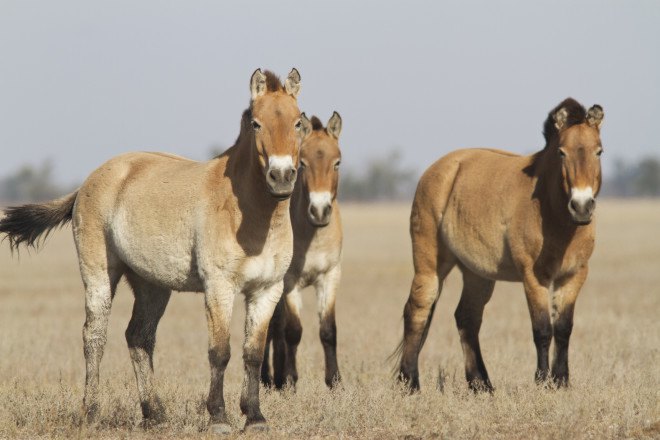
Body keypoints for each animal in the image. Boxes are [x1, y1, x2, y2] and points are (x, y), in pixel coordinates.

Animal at [0, 68, 306, 433]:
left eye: (299, 122)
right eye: (257, 124)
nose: (281, 176)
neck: (250, 215)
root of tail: (88, 181)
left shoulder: (266, 290)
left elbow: (253, 354)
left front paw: (256, 417)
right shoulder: (219, 287)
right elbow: (220, 351)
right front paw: (219, 417)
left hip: (152, 285)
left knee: (138, 337)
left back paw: (154, 414)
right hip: (99, 275)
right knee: (94, 336)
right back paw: (91, 412)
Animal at [260, 112, 344, 390]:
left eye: (337, 162)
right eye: (304, 164)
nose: (319, 211)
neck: (313, 238)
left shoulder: (330, 276)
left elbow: (328, 330)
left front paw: (335, 381)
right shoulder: (290, 281)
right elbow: (293, 331)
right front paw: (289, 380)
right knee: (272, 326)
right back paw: (269, 377)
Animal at [395, 98, 604, 392]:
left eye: (599, 151)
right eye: (562, 152)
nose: (582, 206)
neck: (553, 214)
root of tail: (437, 170)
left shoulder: (574, 276)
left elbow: (564, 328)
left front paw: (561, 381)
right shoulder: (534, 277)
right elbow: (542, 330)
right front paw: (542, 381)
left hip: (477, 275)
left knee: (467, 318)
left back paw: (481, 384)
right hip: (430, 266)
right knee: (417, 311)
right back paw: (410, 383)